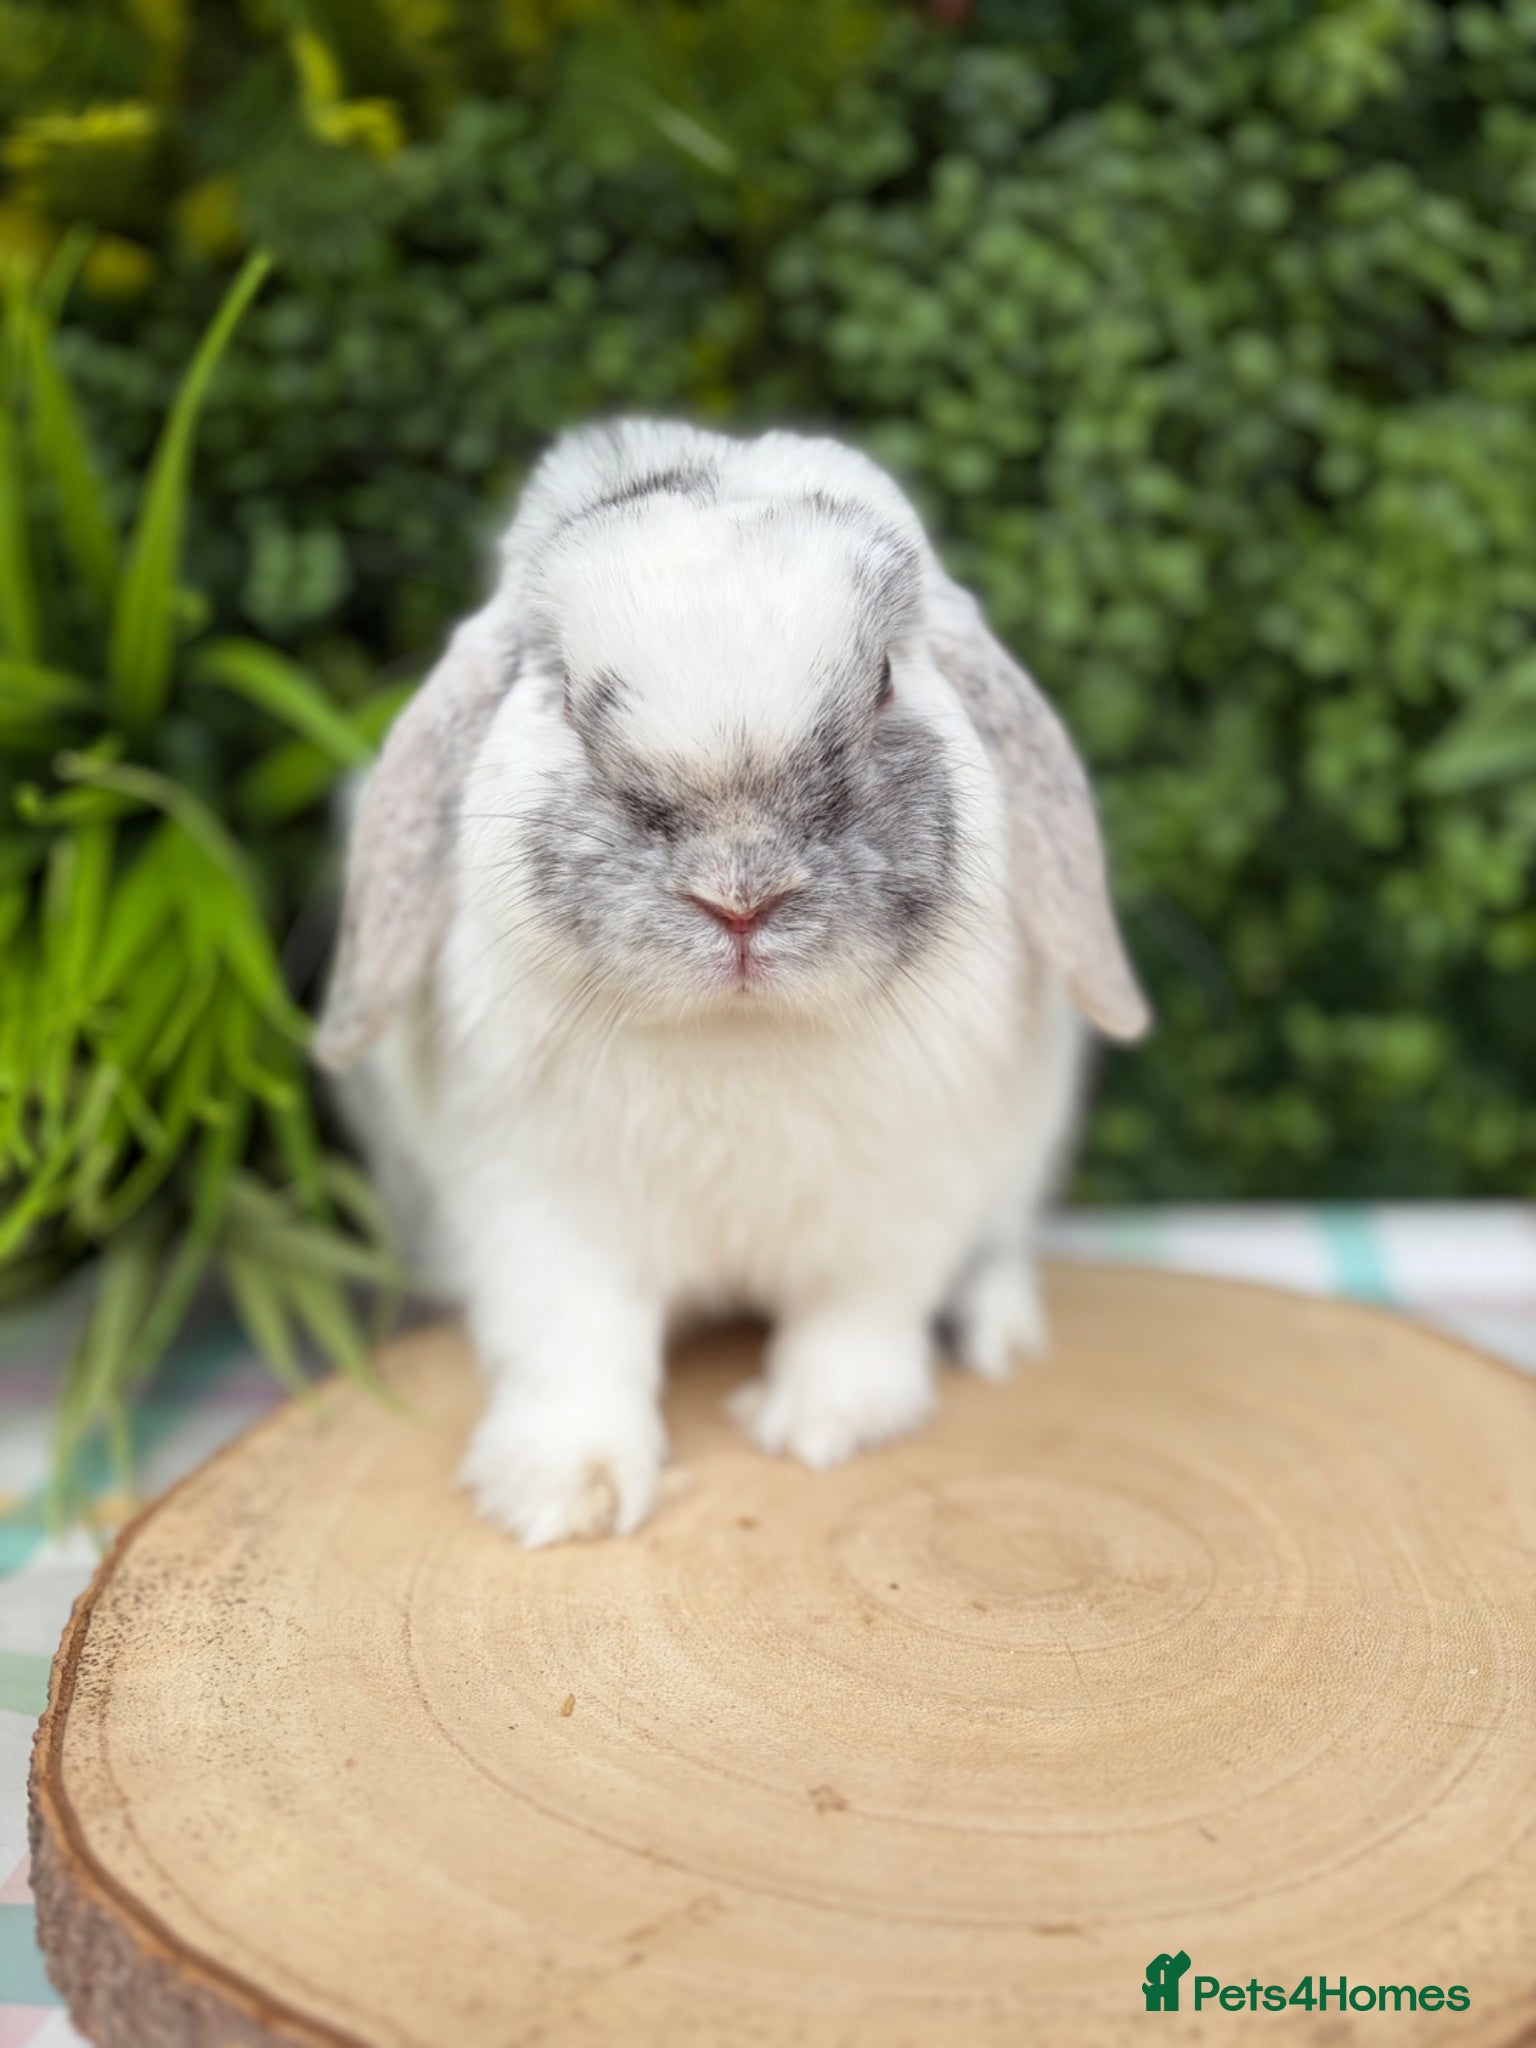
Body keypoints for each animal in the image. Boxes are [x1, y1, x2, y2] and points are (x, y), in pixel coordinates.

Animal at [314, 419, 1148, 1546]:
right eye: (565, 696)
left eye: (885, 679)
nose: (741, 897)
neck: (735, 1034)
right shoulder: (537, 1212)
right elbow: (573, 1347)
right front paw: (564, 1492)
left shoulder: (903, 1202)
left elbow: (857, 1320)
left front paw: (819, 1426)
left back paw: (1001, 1332)